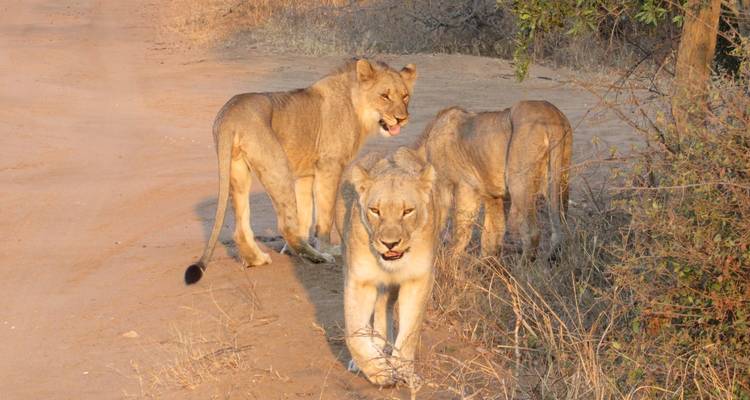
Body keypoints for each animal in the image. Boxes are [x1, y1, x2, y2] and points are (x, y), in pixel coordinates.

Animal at [185, 59, 417, 284]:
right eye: (385, 96)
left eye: (405, 96)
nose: (402, 119)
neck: (355, 104)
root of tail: (230, 114)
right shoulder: (329, 166)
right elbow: (325, 216)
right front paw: (327, 248)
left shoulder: (306, 175)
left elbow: (305, 213)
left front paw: (291, 251)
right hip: (278, 168)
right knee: (286, 225)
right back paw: (318, 258)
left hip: (238, 170)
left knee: (241, 228)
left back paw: (258, 259)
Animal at [336, 148, 448, 386]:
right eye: (375, 210)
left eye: (408, 211)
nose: (390, 243)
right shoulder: (359, 279)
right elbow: (354, 332)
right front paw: (378, 371)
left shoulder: (418, 279)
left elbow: (409, 333)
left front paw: (403, 371)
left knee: (383, 307)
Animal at [417, 100, 572, 260]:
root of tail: (551, 114)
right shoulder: (493, 196)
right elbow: (492, 232)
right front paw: (485, 262)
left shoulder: (461, 186)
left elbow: (455, 227)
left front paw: (448, 257)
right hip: (561, 177)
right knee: (562, 224)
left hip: (519, 182)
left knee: (532, 233)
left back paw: (522, 264)